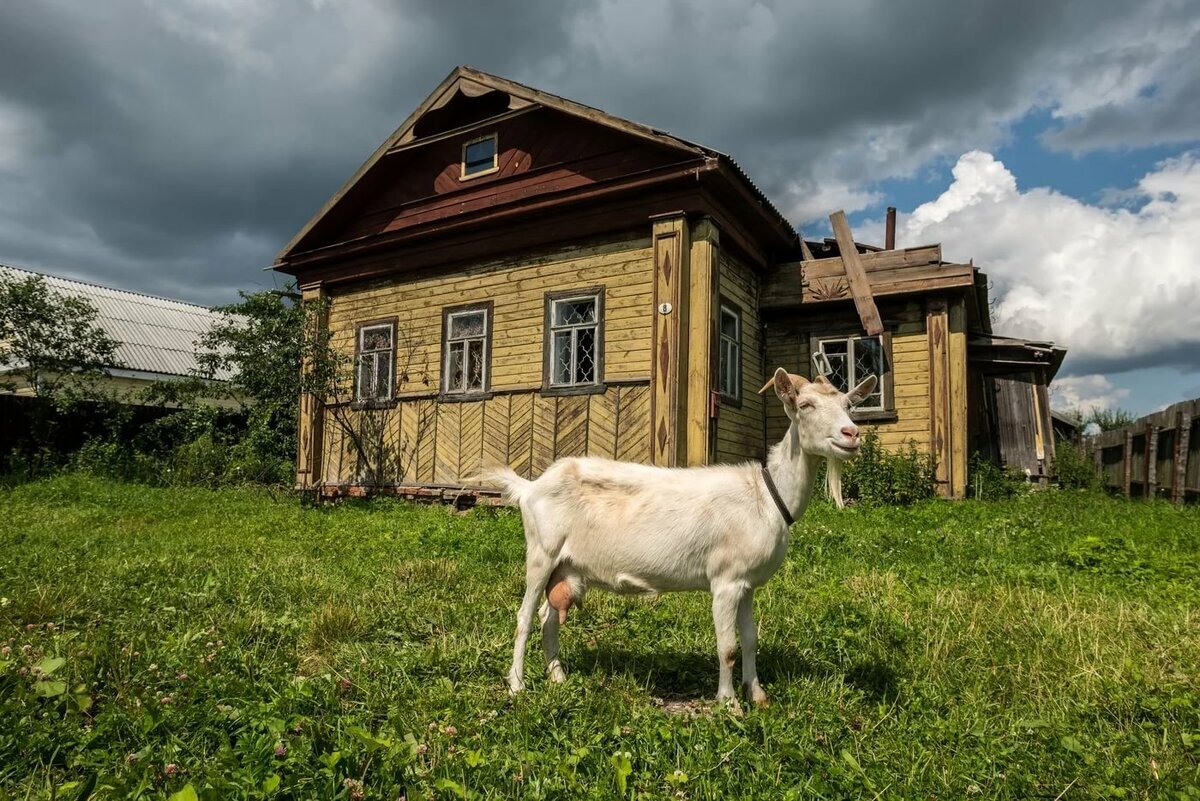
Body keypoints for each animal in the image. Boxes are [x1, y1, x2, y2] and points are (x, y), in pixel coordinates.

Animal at [482, 366, 878, 705]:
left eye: (848, 405)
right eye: (805, 405)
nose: (852, 435)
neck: (765, 495)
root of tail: (531, 486)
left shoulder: (747, 584)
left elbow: (750, 640)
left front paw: (758, 696)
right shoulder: (725, 581)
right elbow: (727, 647)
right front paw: (729, 704)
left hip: (565, 566)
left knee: (549, 618)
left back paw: (558, 678)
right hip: (541, 552)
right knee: (525, 616)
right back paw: (517, 685)